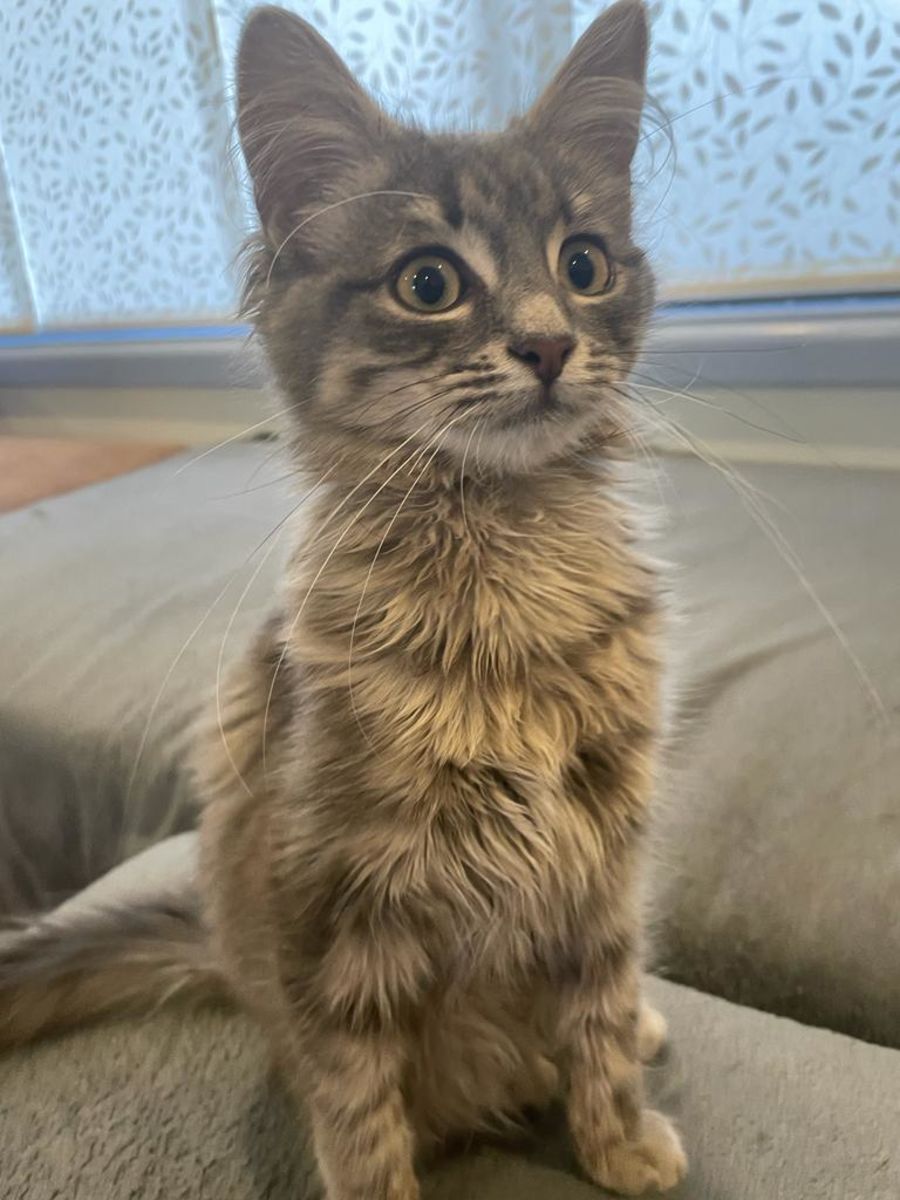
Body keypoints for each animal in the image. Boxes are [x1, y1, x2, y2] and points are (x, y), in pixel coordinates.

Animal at [0, 2, 686, 1195]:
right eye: (430, 284)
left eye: (585, 264)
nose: (551, 343)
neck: (504, 572)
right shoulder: (331, 903)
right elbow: (359, 1108)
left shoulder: (603, 858)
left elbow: (598, 1013)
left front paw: (618, 1142)